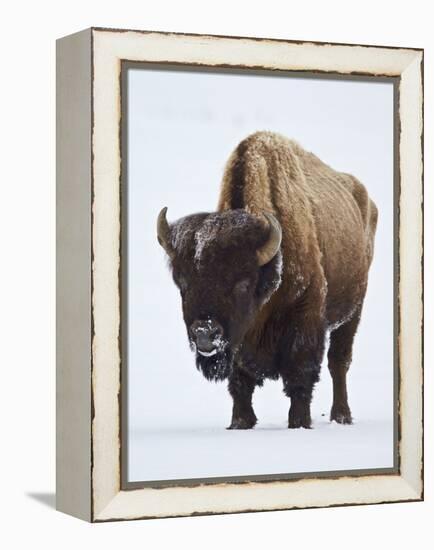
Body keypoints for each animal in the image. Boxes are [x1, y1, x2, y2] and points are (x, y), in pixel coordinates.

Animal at [156, 130, 376, 432]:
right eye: (183, 282)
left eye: (243, 283)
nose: (205, 333)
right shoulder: (238, 341)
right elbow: (240, 383)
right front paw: (240, 422)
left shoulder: (305, 320)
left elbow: (300, 378)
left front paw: (299, 423)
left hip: (353, 312)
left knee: (338, 362)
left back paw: (341, 416)